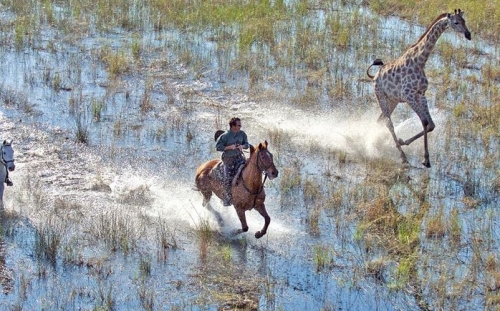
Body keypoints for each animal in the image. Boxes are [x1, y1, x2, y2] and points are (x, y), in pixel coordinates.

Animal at [366, 9, 470, 168]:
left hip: (392, 100)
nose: (468, 35)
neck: (420, 61)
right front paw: (425, 159)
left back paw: (381, 144)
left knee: (381, 120)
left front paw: (406, 143)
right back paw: (402, 156)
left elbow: (431, 124)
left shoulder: (421, 95)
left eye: (465, 21)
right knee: (389, 123)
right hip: (381, 96)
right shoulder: (409, 96)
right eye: (456, 22)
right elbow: (425, 122)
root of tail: (374, 77)